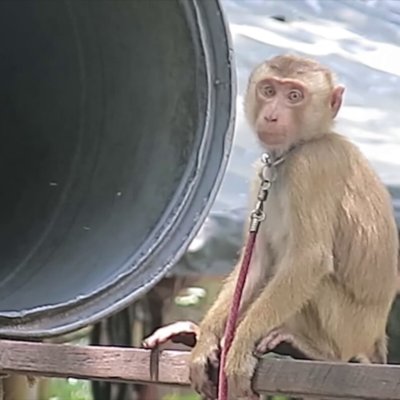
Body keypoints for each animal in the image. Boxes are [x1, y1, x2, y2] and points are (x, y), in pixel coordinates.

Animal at [188, 54, 400, 400]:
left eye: (295, 96)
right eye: (268, 90)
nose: (272, 116)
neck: (295, 150)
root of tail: (376, 340)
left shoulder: (311, 166)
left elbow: (308, 260)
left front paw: (239, 347)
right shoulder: (260, 174)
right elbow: (257, 264)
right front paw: (205, 342)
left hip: (349, 329)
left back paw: (317, 352)